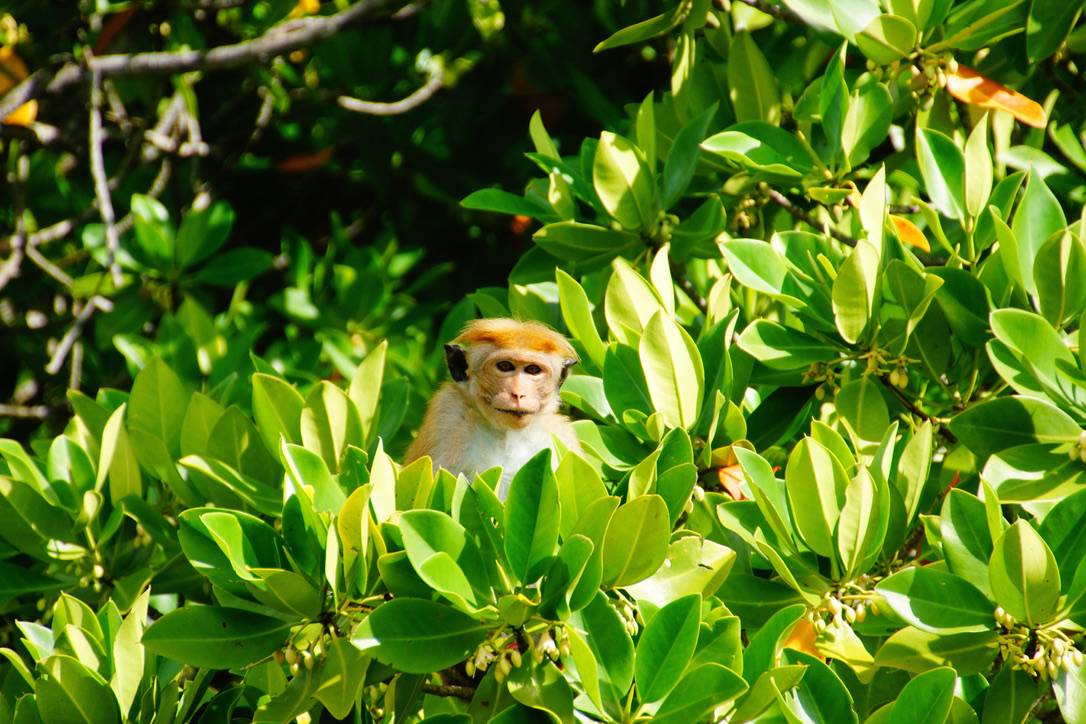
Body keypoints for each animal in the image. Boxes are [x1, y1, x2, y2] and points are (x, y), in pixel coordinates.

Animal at [404, 318, 582, 500]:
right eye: (505, 366)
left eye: (532, 369)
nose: (518, 394)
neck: (507, 434)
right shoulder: (446, 415)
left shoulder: (562, 436)